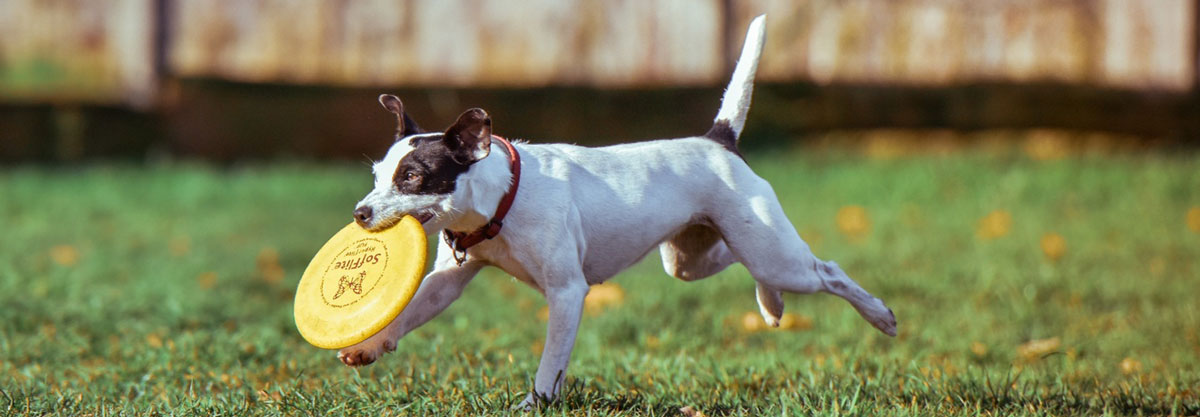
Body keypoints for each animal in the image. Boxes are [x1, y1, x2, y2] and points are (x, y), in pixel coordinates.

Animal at [338, 15, 892, 407]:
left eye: (412, 177)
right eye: (377, 175)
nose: (360, 213)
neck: (502, 199)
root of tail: (718, 141)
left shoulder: (567, 294)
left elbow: (550, 365)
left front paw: (534, 403)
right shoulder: (447, 280)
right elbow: (411, 311)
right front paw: (371, 344)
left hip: (776, 255)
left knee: (827, 271)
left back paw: (879, 315)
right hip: (692, 258)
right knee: (740, 262)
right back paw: (770, 304)